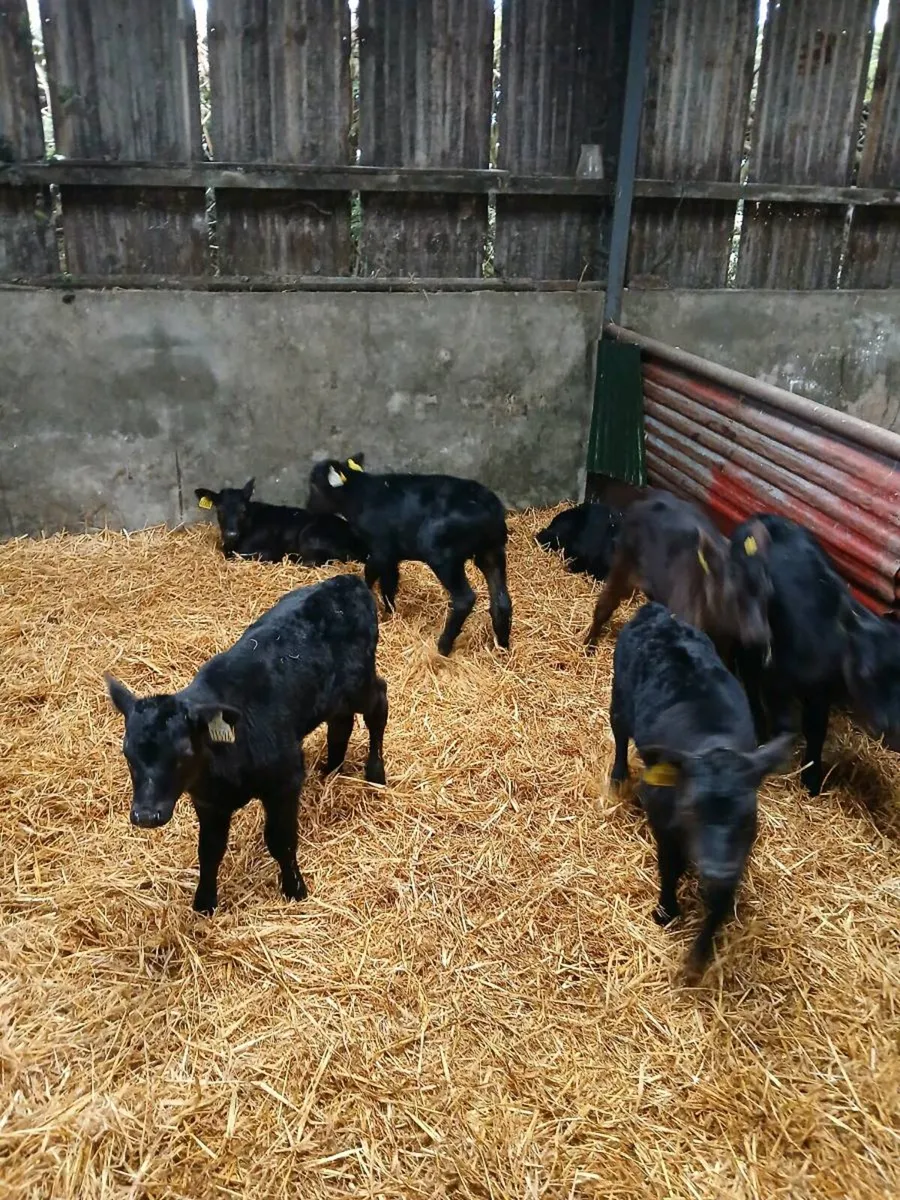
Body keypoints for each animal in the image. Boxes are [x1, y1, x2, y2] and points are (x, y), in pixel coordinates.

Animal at [106, 574, 388, 914]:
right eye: (127, 753)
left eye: (184, 752)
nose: (147, 815)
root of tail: (345, 580)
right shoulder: (209, 803)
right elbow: (209, 851)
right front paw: (204, 902)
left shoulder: (285, 782)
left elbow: (281, 840)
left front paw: (295, 888)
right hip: (335, 698)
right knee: (340, 724)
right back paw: (330, 769)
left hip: (360, 684)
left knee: (379, 705)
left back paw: (376, 773)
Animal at [306, 453, 511, 656]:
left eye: (314, 486)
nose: (308, 508)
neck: (359, 496)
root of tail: (493, 511)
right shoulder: (392, 554)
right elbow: (389, 582)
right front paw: (390, 613)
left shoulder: (381, 549)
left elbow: (371, 574)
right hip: (492, 551)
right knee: (501, 600)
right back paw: (502, 647)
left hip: (442, 553)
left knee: (464, 599)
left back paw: (443, 647)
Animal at [610, 602, 791, 978]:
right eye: (692, 807)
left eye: (748, 815)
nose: (716, 872)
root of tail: (656, 611)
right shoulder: (664, 825)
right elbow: (669, 867)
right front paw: (665, 912)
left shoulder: (737, 852)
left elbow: (720, 902)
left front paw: (699, 956)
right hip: (618, 695)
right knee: (619, 735)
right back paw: (618, 778)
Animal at [732, 512, 900, 795]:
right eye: (867, 672)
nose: (890, 725)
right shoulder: (778, 676)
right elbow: (783, 722)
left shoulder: (821, 692)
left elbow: (816, 730)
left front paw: (811, 780)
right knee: (750, 678)